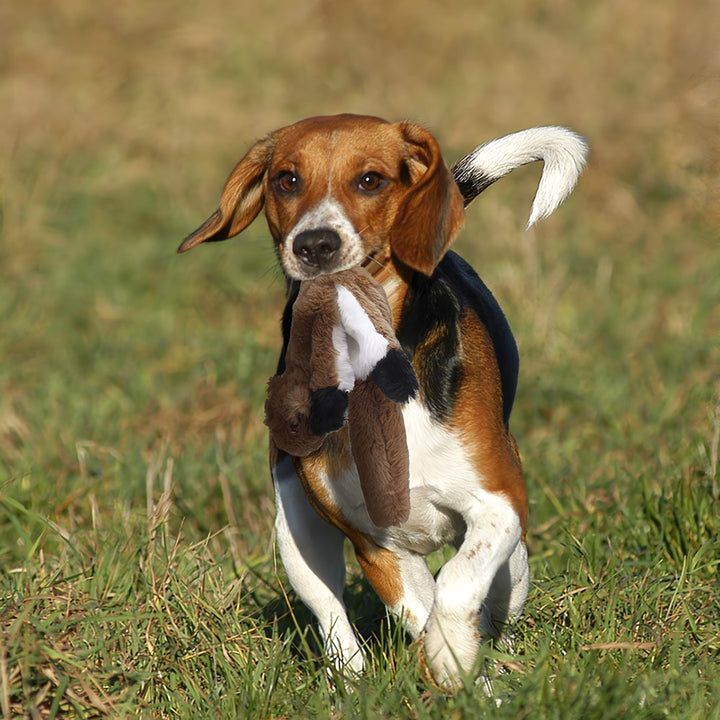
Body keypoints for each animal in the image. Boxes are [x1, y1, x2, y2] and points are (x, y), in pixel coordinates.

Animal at [177, 114, 588, 688]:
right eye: (287, 180)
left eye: (370, 180)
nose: (315, 243)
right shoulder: (379, 545)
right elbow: (422, 605)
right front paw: (454, 665)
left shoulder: (499, 505)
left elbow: (457, 584)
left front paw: (457, 660)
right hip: (295, 532)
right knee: (331, 615)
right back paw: (351, 679)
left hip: (513, 556)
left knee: (497, 595)